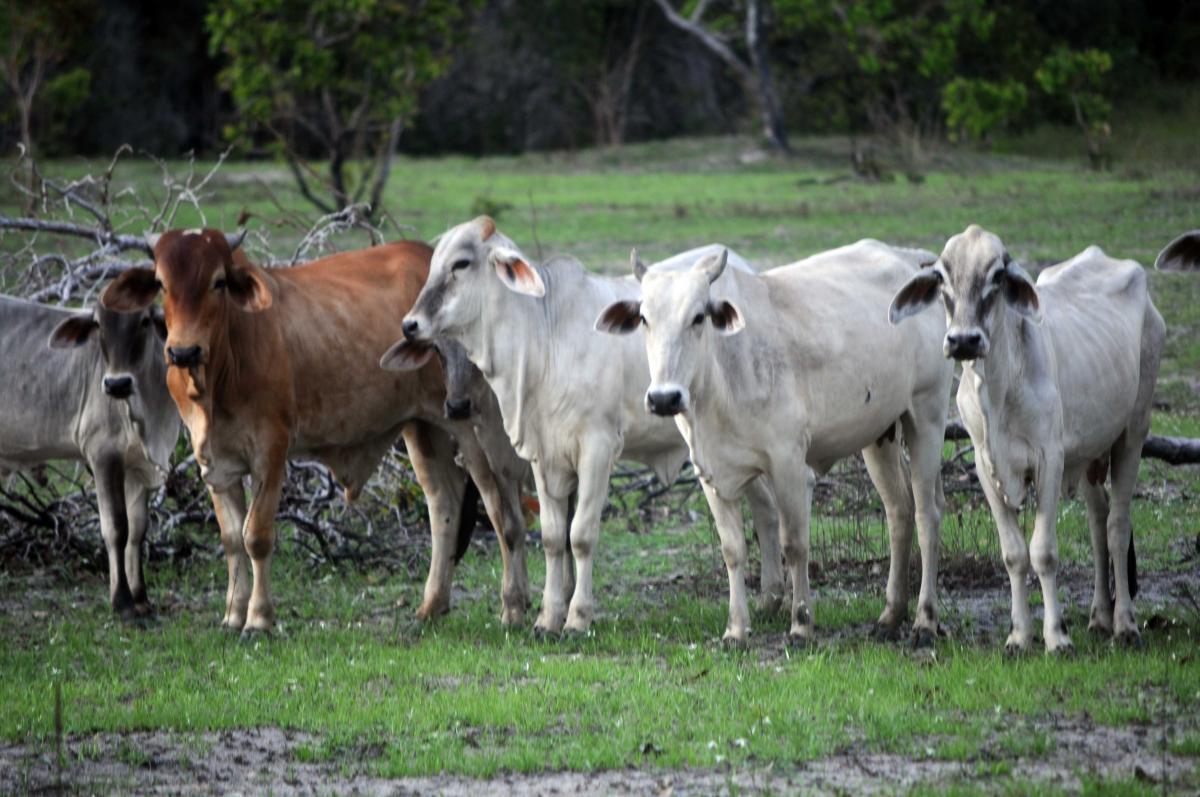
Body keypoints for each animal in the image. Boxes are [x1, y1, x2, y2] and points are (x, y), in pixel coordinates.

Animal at [0, 296, 179, 619]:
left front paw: (141, 597)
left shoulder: (137, 466)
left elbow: (138, 530)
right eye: (98, 323)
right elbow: (116, 527)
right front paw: (122, 602)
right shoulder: (103, 454)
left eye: (144, 321)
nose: (117, 385)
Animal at [100, 230, 529, 634]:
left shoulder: (270, 451)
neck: (222, 367)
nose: (183, 351)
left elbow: (256, 536)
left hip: (471, 426)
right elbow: (232, 539)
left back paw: (513, 606)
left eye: (218, 281)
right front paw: (233, 615)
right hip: (422, 426)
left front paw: (258, 619)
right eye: (161, 283)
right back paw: (432, 605)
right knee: (445, 502)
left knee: (499, 509)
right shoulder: (214, 464)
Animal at [397, 218, 784, 636]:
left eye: (461, 263)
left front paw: (577, 617)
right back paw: (770, 599)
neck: (544, 339)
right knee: (765, 509)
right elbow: (552, 538)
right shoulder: (543, 457)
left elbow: (580, 535)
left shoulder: (597, 449)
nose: (410, 324)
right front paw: (546, 618)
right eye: (434, 263)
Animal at [598, 242, 954, 645]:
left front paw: (801, 624)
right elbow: (733, 549)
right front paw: (736, 629)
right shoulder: (710, 473)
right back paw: (891, 614)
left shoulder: (788, 463)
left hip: (927, 416)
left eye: (698, 317)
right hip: (880, 433)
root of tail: (913, 258)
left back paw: (925, 620)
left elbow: (794, 543)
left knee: (928, 514)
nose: (663, 398)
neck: (721, 377)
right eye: (644, 319)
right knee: (899, 510)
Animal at [889, 225, 1165, 652]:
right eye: (941, 277)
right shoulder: (987, 467)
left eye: (997, 276)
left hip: (1133, 430)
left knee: (1117, 527)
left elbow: (1044, 552)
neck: (999, 389)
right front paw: (1019, 635)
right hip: (1087, 453)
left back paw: (1124, 624)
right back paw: (1099, 616)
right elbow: (1014, 554)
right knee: (1097, 520)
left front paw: (1057, 637)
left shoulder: (1049, 460)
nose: (964, 341)